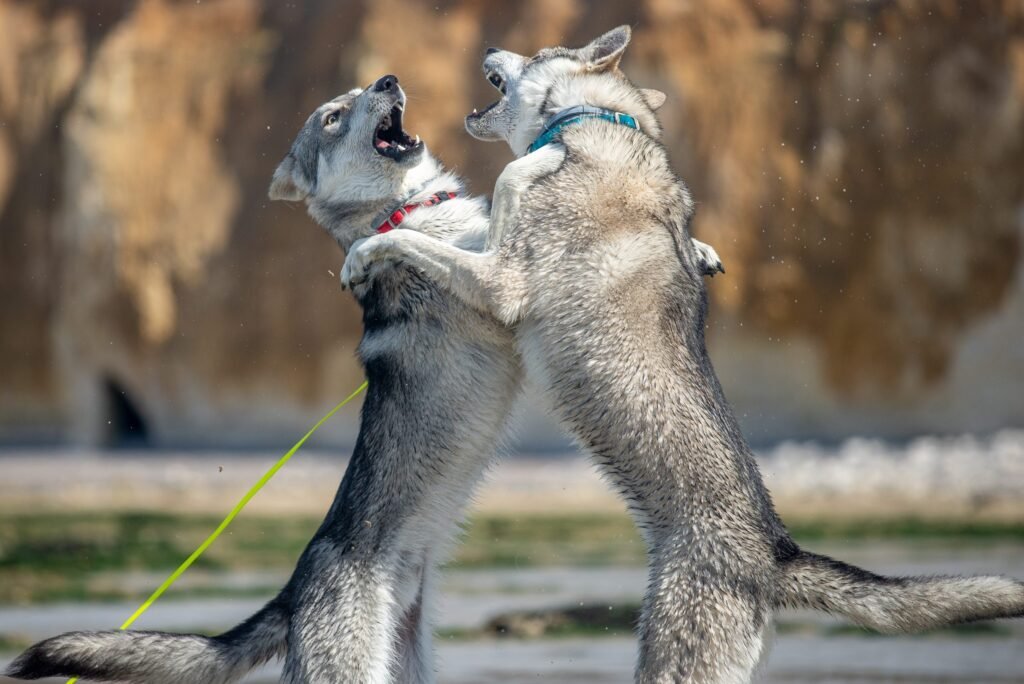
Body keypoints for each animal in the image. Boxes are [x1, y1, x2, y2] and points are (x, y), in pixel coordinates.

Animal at [340, 27, 1024, 684]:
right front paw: (700, 250)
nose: (486, 46)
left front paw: (362, 255)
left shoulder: (502, 283)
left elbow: (454, 209)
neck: (601, 122)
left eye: (536, 52)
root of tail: (777, 554)